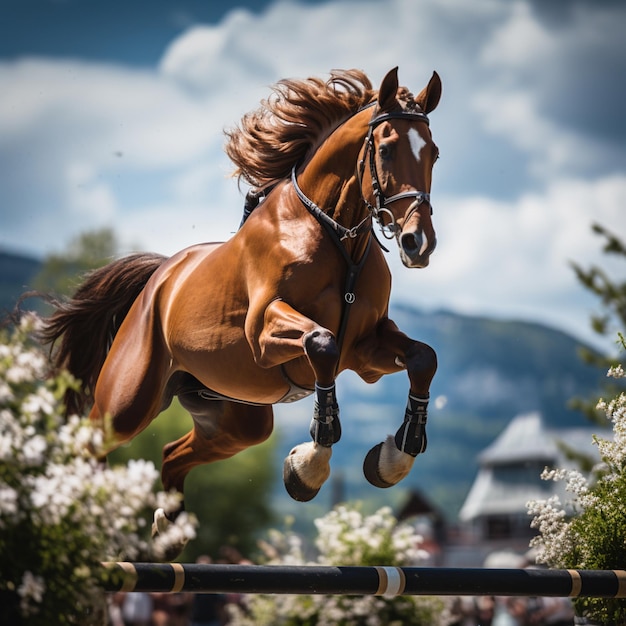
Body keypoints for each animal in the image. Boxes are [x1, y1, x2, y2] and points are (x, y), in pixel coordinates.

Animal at [40, 64, 438, 536]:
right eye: (388, 150)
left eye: (434, 153)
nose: (418, 243)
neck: (337, 237)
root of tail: (159, 278)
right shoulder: (264, 334)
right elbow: (322, 343)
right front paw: (307, 467)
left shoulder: (366, 350)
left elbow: (423, 358)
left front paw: (393, 458)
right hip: (127, 402)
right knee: (90, 445)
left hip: (235, 420)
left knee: (172, 455)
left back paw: (169, 535)